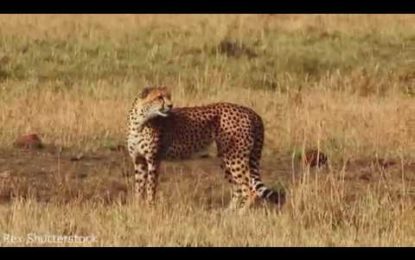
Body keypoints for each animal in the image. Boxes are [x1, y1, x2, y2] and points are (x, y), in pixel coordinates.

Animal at [127, 86, 286, 210]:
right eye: (159, 97)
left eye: (168, 97)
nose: (171, 106)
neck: (140, 121)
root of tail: (250, 111)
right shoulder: (139, 160)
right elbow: (139, 187)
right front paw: (137, 208)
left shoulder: (153, 160)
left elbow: (150, 187)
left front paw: (149, 208)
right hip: (227, 157)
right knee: (238, 188)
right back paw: (228, 213)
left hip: (235, 157)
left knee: (249, 189)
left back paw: (240, 214)